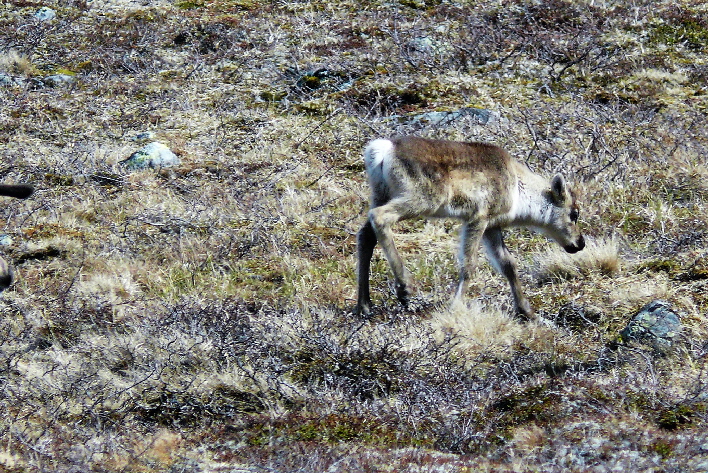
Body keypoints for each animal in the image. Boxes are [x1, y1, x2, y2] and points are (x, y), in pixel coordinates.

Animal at [355, 137, 585, 320]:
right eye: (574, 213)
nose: (580, 243)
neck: (519, 191)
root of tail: (384, 149)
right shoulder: (478, 218)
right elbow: (469, 264)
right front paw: (455, 307)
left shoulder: (492, 225)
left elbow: (508, 264)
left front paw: (526, 311)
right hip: (421, 199)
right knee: (380, 217)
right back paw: (405, 287)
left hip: (380, 193)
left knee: (365, 235)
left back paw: (364, 305)